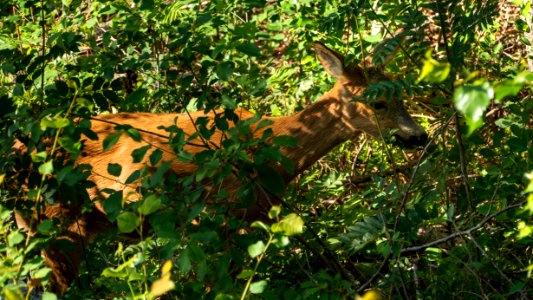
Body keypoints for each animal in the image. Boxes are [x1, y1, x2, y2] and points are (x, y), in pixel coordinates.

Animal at [13, 42, 428, 292]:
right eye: (378, 104)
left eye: (402, 95)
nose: (419, 136)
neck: (274, 149)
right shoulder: (215, 215)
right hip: (55, 218)